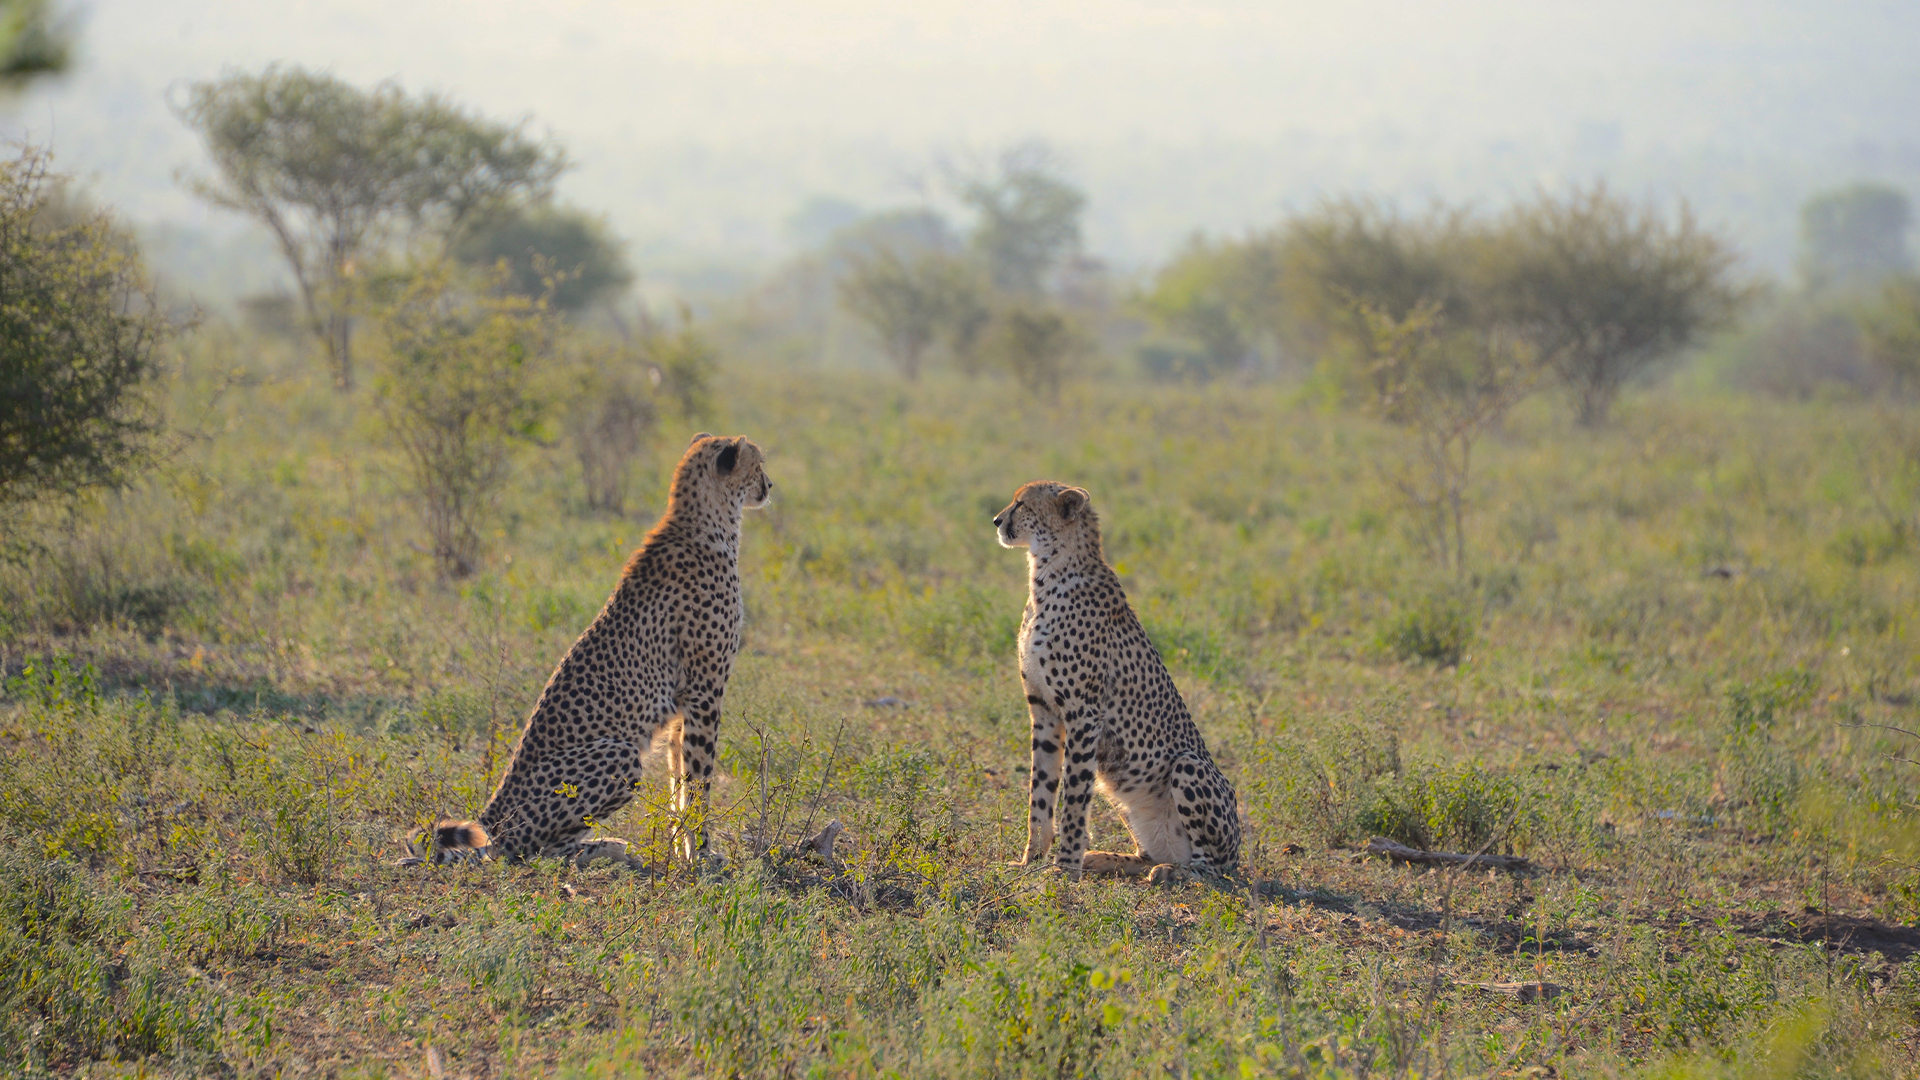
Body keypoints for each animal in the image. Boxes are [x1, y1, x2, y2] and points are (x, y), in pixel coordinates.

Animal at [410, 432, 771, 860]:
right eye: (759, 464)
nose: (770, 486)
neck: (708, 522)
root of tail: (491, 817)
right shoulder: (703, 692)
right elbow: (698, 780)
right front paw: (700, 854)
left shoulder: (683, 704)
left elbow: (677, 781)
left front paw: (679, 850)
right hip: (619, 755)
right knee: (527, 852)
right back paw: (605, 849)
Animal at [990, 478, 1244, 876]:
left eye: (1022, 504)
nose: (997, 521)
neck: (1048, 572)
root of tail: (1239, 853)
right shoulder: (1043, 710)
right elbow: (1041, 792)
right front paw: (1031, 860)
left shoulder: (1084, 714)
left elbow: (1074, 797)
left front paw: (1065, 868)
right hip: (1124, 794)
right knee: (1150, 854)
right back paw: (1105, 858)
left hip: (1189, 766)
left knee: (1211, 869)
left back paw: (1174, 874)